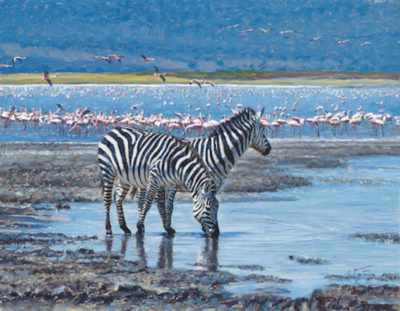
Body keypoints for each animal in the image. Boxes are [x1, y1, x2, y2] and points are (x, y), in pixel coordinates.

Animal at [111, 108, 270, 235]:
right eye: (263, 130)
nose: (269, 149)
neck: (215, 152)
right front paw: (208, 228)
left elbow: (212, 204)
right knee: (144, 200)